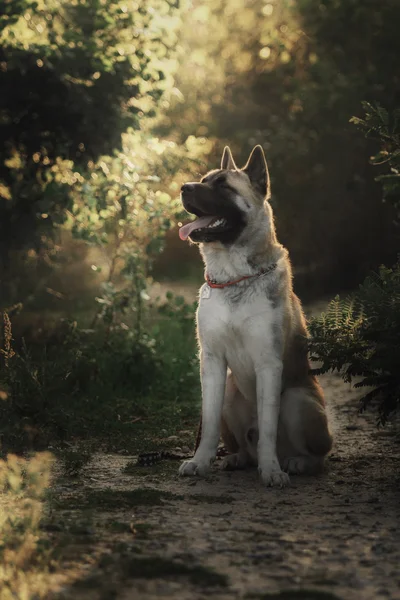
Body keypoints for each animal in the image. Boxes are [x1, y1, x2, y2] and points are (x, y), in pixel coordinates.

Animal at [177, 145, 332, 488]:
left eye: (223, 186)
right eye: (203, 180)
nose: (183, 187)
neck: (234, 276)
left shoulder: (268, 363)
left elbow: (269, 430)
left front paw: (271, 470)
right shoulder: (212, 362)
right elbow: (208, 424)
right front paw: (200, 461)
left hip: (297, 401)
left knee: (317, 456)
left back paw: (296, 462)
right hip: (230, 391)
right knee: (243, 445)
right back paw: (236, 458)